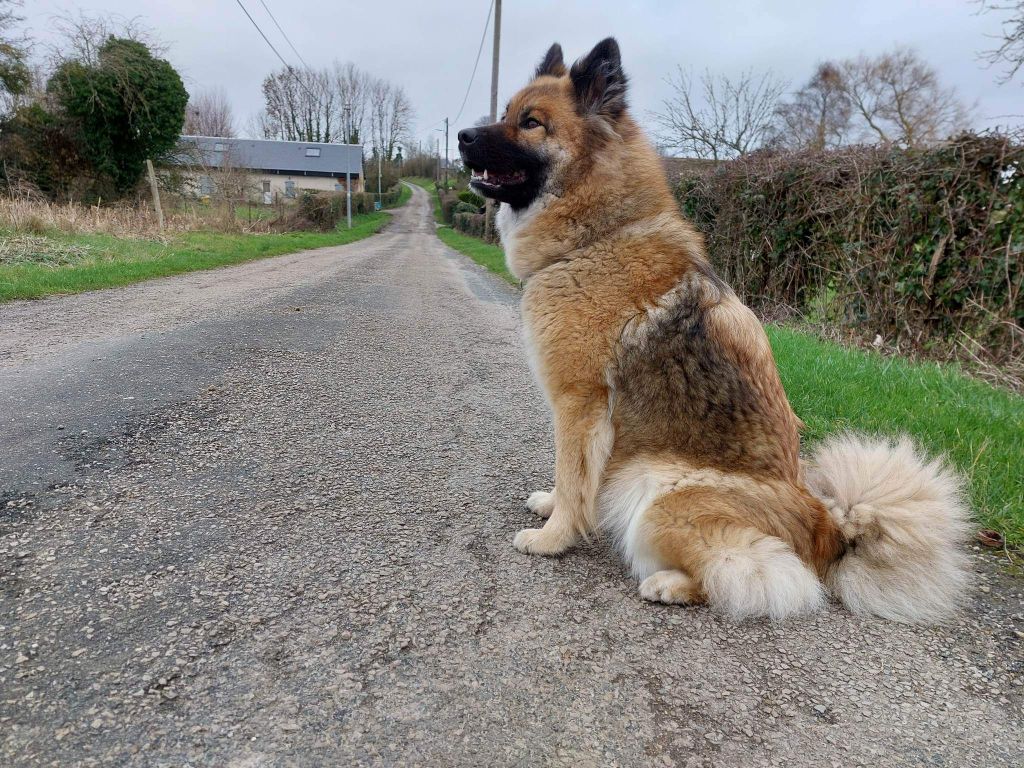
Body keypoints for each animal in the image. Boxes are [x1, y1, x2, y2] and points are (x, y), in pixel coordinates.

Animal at [456, 39, 966, 622]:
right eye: (505, 113)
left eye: (531, 123)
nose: (462, 136)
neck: (599, 236)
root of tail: (830, 529)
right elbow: (572, 479)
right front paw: (552, 505)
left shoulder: (579, 403)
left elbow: (573, 473)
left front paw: (553, 537)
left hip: (660, 495)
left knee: (754, 577)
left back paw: (668, 585)